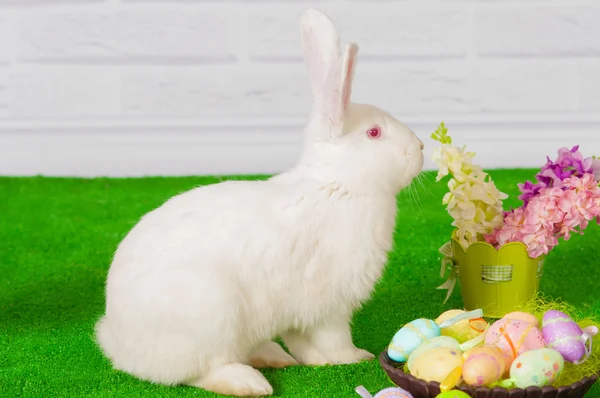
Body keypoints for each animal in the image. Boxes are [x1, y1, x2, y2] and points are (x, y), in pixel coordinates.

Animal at [95, 7, 422, 398]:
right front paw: (354, 357)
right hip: (212, 314)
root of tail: (119, 345)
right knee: (197, 371)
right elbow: (333, 338)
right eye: (374, 133)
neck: (337, 184)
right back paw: (250, 381)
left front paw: (314, 360)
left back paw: (273, 356)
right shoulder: (331, 304)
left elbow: (303, 341)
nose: (420, 149)